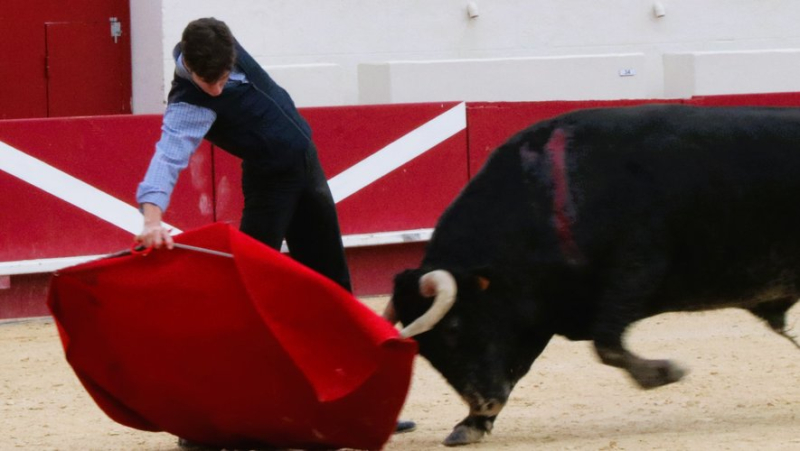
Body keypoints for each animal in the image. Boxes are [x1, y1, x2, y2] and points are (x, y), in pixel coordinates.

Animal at [386, 104, 800, 446]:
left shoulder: (633, 272)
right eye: (424, 350)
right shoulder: (537, 310)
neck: (545, 196)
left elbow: (606, 344)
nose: (484, 403)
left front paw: (665, 372)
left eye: (454, 329)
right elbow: (519, 365)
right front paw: (471, 425)